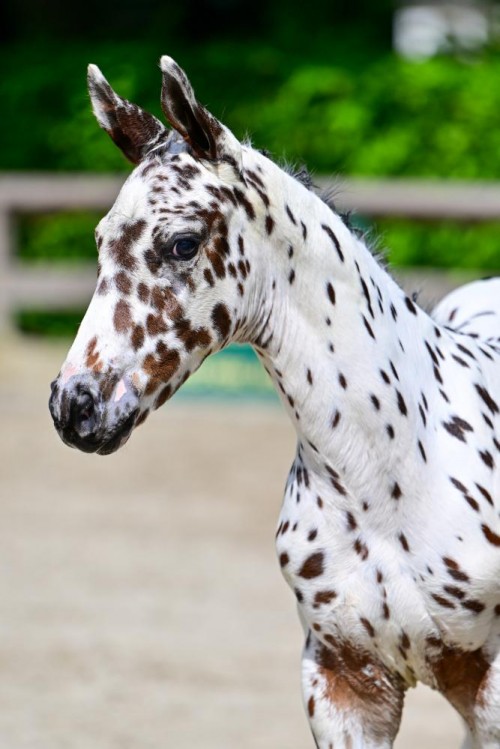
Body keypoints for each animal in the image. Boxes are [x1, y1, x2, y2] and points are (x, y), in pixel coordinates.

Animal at [49, 56, 500, 748]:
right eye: (100, 242)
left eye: (183, 243)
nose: (75, 406)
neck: (385, 477)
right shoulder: (343, 684)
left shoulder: (488, 688)